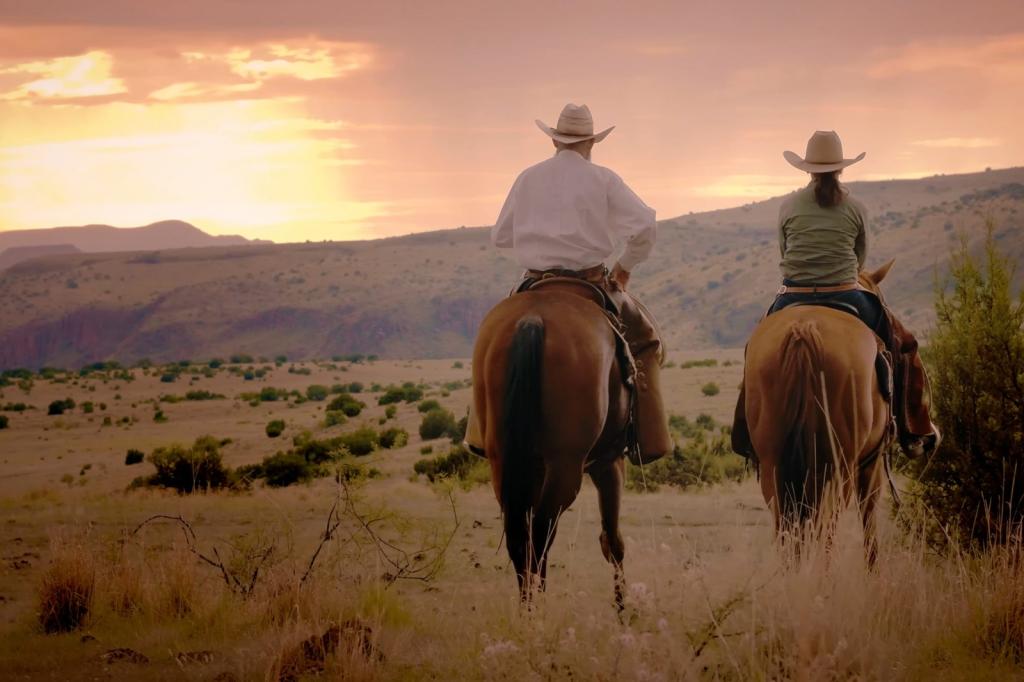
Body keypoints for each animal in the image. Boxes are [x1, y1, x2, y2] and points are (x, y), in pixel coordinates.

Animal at [471, 279, 631, 605]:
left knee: (521, 536)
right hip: (566, 465)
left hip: (503, 460)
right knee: (541, 533)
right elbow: (612, 538)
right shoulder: (609, 461)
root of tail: (533, 319)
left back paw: (529, 608)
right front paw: (624, 608)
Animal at [743, 262, 897, 563]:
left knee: (786, 525)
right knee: (827, 524)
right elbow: (869, 516)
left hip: (774, 462)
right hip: (839, 466)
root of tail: (804, 329)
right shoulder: (871, 462)